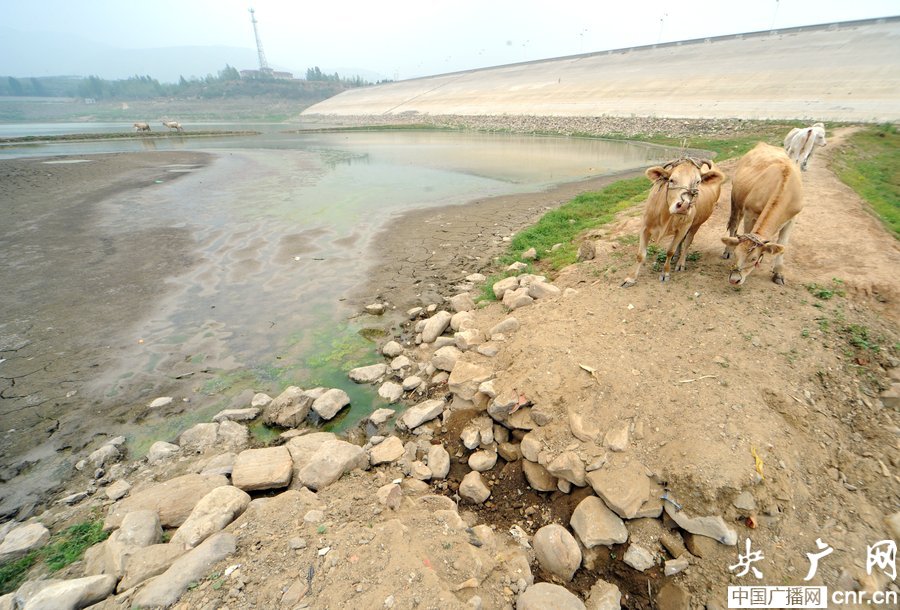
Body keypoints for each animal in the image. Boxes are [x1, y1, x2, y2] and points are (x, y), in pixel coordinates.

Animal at [624, 159, 728, 288]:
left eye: (698, 181)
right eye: (671, 180)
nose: (683, 206)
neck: (665, 215)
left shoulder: (684, 228)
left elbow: (670, 251)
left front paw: (665, 273)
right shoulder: (645, 227)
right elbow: (640, 255)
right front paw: (630, 278)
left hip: (696, 224)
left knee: (687, 242)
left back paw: (680, 263)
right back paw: (676, 257)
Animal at [720, 142, 804, 284]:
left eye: (753, 258)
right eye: (737, 254)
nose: (734, 279)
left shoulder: (792, 219)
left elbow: (782, 245)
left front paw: (778, 273)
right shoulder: (750, 213)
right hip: (736, 200)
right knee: (734, 223)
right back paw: (727, 250)